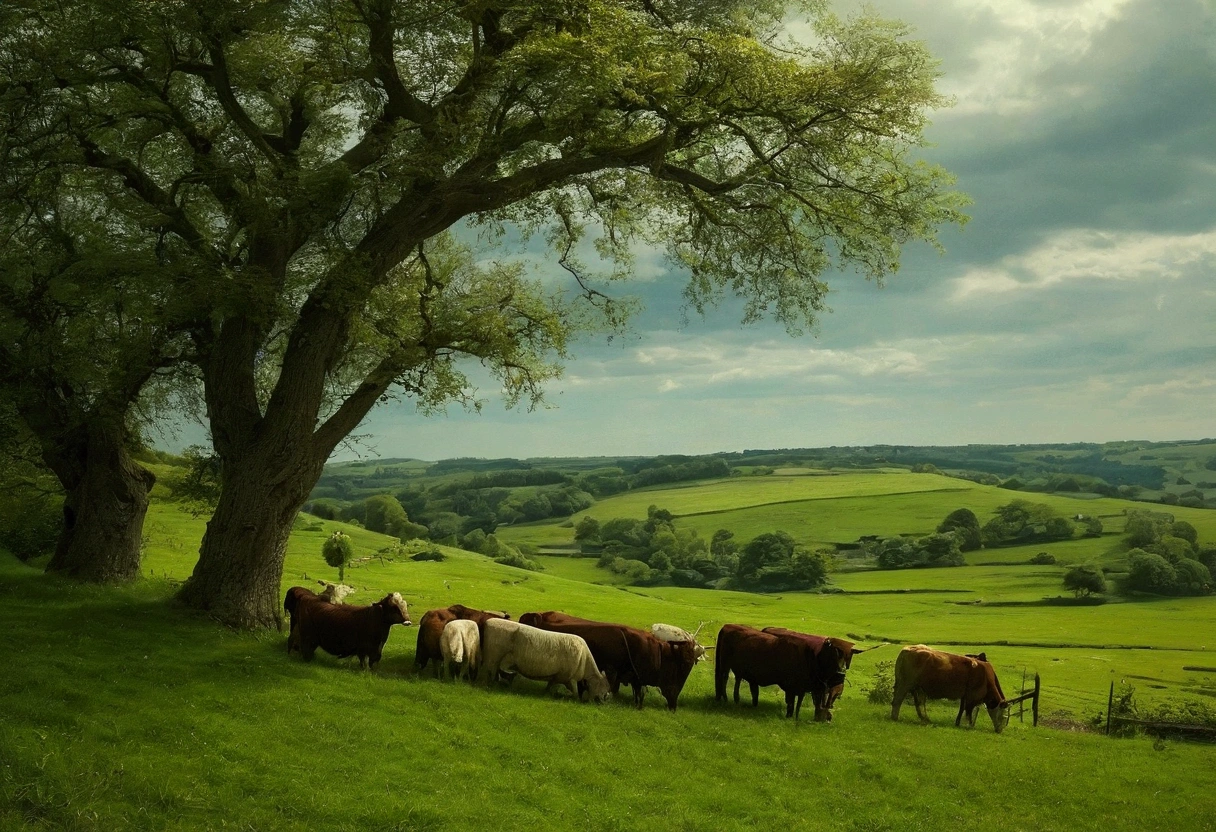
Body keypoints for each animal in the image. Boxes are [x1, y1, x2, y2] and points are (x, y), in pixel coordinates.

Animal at [479, 617, 612, 700]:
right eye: (603, 685)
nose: (605, 698)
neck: (585, 663)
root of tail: (488, 622)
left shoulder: (558, 676)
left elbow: (551, 684)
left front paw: (546, 693)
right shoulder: (567, 677)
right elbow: (573, 691)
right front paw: (572, 698)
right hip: (493, 656)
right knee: (489, 671)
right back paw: (487, 685)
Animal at [518, 610, 700, 710]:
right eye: (682, 663)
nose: (673, 706)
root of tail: (536, 614)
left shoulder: (633, 678)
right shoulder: (612, 671)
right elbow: (610, 688)